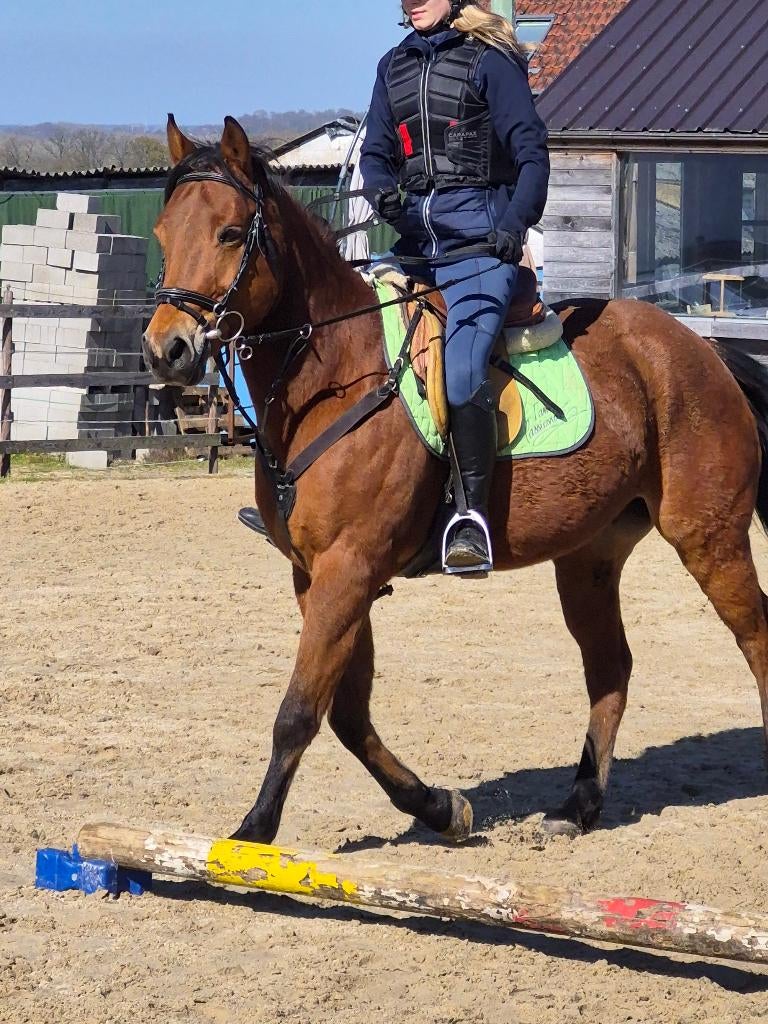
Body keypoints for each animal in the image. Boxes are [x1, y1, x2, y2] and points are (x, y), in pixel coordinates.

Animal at [143, 114, 768, 844]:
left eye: (229, 233)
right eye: (163, 235)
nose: (167, 350)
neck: (333, 375)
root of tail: (704, 348)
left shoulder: (348, 568)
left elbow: (299, 711)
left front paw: (251, 834)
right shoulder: (318, 574)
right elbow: (346, 713)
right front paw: (442, 806)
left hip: (708, 538)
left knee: (755, 636)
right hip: (590, 556)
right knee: (611, 666)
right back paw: (578, 806)